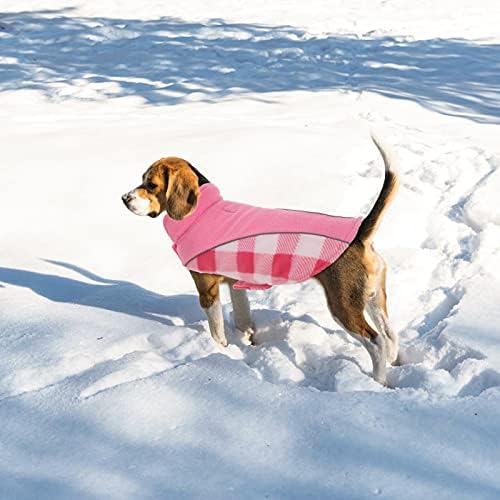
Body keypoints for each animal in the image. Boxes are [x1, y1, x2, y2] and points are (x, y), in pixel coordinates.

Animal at [123, 135, 400, 384]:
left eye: (151, 184)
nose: (124, 199)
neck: (201, 212)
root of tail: (359, 234)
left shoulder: (207, 287)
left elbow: (216, 330)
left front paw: (221, 351)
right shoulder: (235, 284)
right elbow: (243, 318)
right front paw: (246, 342)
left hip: (343, 305)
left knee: (376, 341)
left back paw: (377, 381)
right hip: (374, 298)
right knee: (390, 335)